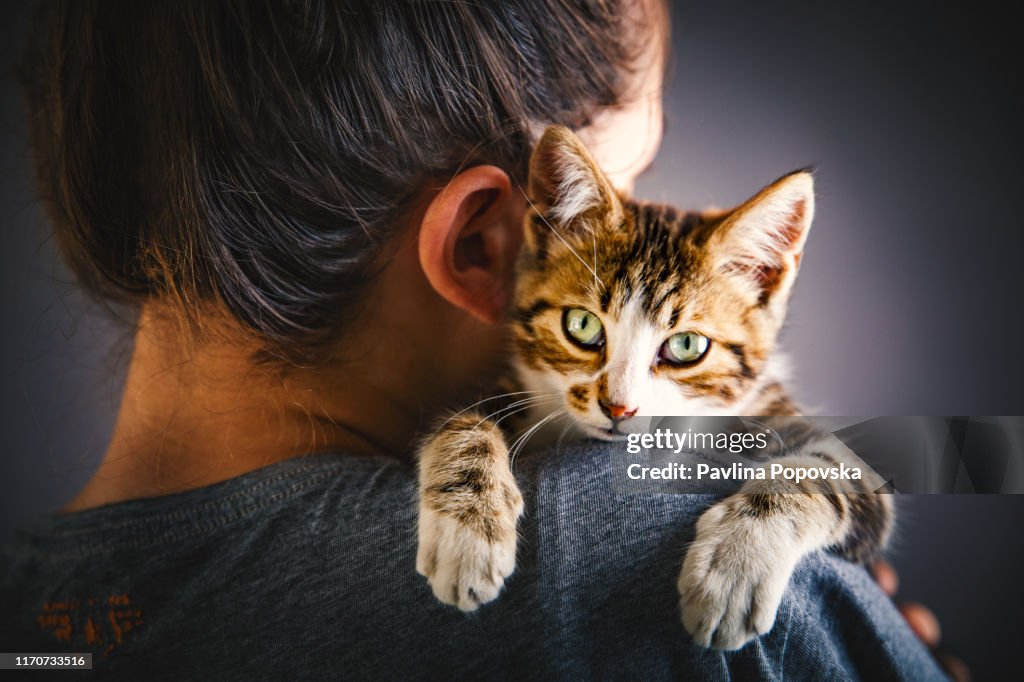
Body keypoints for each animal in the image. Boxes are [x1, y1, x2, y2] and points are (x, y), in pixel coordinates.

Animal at [411, 123, 892, 647]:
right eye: (582, 325)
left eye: (686, 346)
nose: (618, 408)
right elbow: (466, 419)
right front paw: (467, 531)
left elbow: (827, 469)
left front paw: (734, 564)